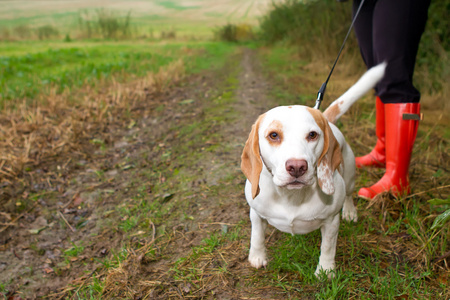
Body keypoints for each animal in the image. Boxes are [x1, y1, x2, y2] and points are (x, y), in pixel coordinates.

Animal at [241, 62, 384, 276]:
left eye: (312, 135)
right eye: (273, 135)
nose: (297, 167)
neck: (292, 197)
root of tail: (325, 116)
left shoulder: (331, 221)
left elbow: (328, 246)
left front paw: (325, 271)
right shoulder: (256, 213)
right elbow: (256, 235)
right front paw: (257, 257)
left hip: (350, 176)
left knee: (349, 195)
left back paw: (350, 212)